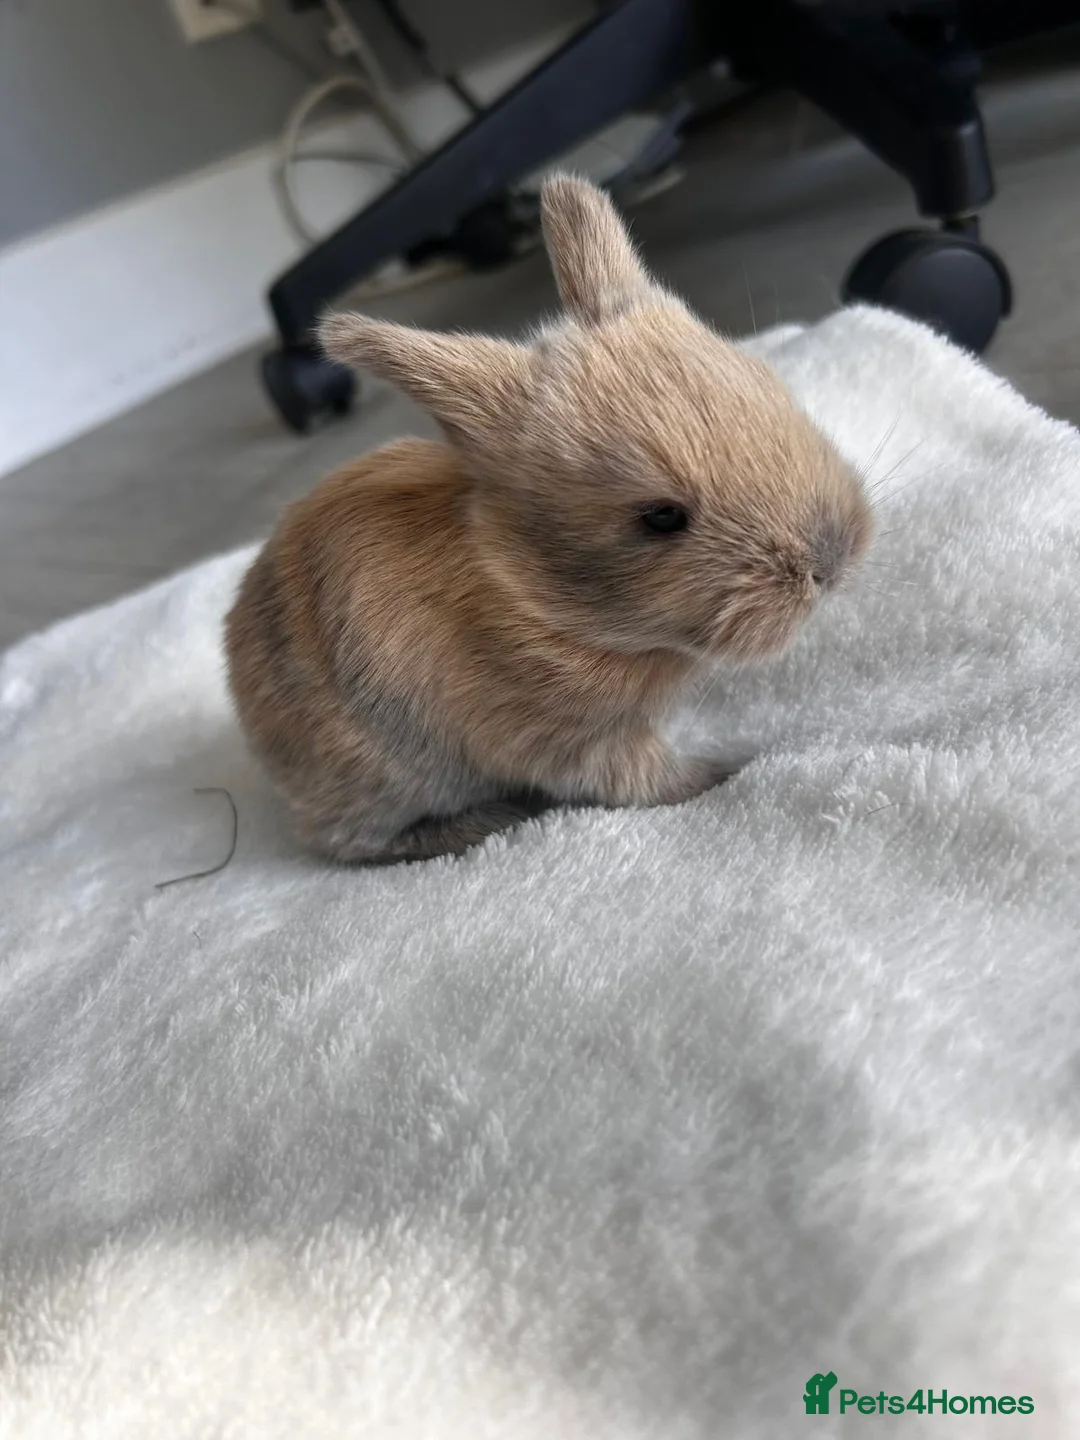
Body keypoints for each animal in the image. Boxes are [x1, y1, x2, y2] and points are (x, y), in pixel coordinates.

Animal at [225, 174, 872, 864]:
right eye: (661, 517)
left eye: (770, 387)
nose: (831, 561)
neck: (532, 592)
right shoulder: (569, 736)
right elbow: (641, 779)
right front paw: (730, 769)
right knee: (353, 844)